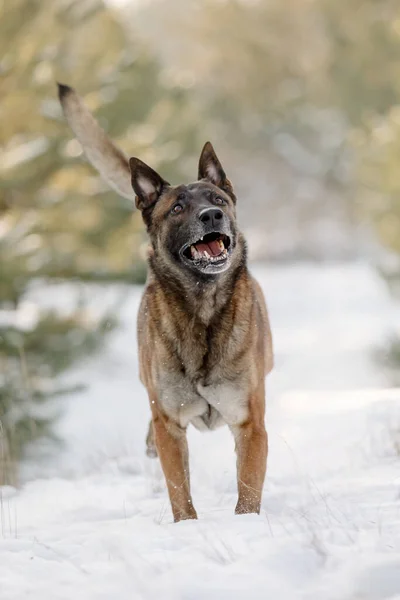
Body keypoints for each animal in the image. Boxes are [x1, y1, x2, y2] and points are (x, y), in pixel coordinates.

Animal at [57, 84, 274, 520]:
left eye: (218, 199)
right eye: (177, 208)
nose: (211, 215)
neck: (202, 309)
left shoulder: (249, 424)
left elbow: (247, 495)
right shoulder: (170, 426)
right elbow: (180, 493)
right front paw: (187, 526)